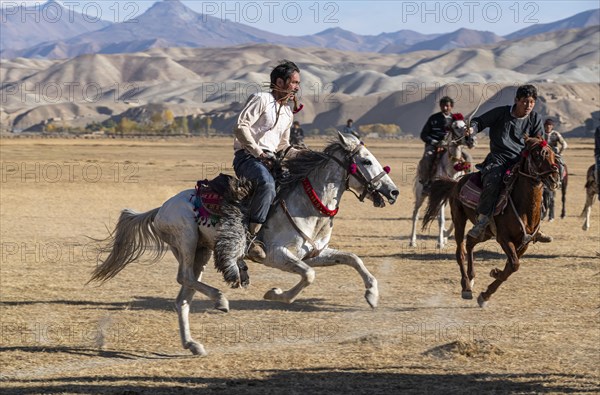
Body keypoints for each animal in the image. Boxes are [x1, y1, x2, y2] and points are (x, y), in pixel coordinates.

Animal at [88, 132, 398, 356]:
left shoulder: (314, 253)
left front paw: (372, 295)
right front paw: (276, 294)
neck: (307, 204)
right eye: (366, 161)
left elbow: (352, 258)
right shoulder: (277, 256)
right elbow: (309, 276)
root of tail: (160, 208)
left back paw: (193, 344)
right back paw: (220, 299)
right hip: (187, 243)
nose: (393, 191)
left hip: (201, 251)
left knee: (183, 297)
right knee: (183, 277)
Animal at [408, 116, 474, 249]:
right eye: (456, 127)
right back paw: (412, 241)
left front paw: (444, 237)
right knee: (415, 214)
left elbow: (454, 220)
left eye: (465, 125)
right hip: (420, 195)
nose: (470, 140)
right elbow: (441, 220)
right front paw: (439, 242)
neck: (452, 169)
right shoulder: (439, 197)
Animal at [422, 138, 556, 308]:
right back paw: (466, 287)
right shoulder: (504, 238)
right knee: (460, 251)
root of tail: (456, 183)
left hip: (485, 232)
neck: (524, 208)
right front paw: (490, 283)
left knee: (470, 242)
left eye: (552, 153)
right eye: (537, 155)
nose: (554, 176)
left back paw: (472, 278)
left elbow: (511, 266)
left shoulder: (524, 242)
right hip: (459, 219)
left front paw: (488, 288)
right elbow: (514, 264)